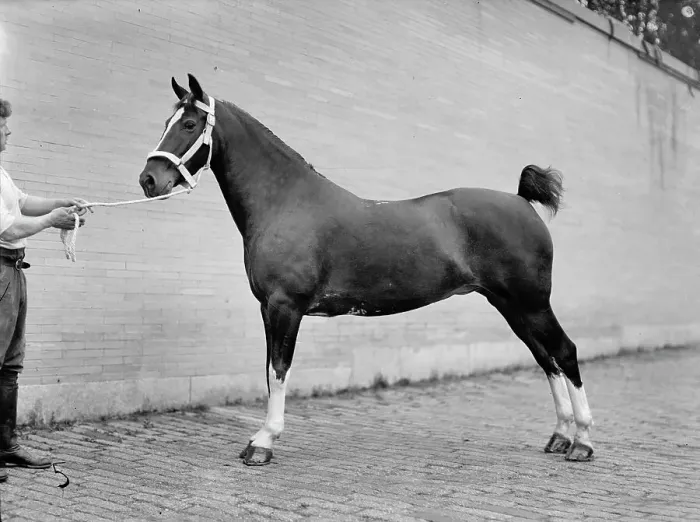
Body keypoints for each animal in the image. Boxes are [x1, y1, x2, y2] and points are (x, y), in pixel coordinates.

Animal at [138, 73, 594, 466]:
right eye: (166, 123)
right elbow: (270, 372)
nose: (149, 179)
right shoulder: (269, 309)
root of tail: (521, 202)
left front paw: (263, 443)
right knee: (546, 359)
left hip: (532, 304)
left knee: (564, 352)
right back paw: (560, 436)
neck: (286, 202)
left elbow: (279, 371)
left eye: (190, 123)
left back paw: (583, 442)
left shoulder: (285, 307)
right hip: (511, 306)